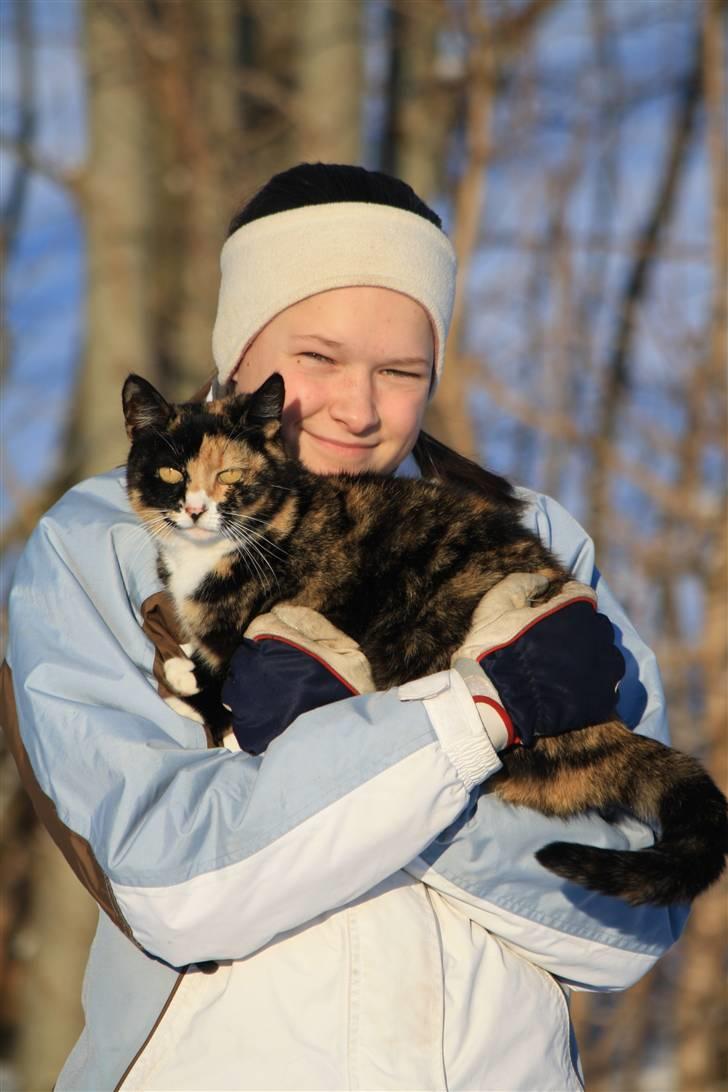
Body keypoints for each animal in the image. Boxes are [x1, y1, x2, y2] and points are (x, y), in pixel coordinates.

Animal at [122, 373, 724, 904]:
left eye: (228, 474)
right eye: (171, 472)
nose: (195, 509)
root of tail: (612, 730)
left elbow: (228, 692)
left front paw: (190, 684)